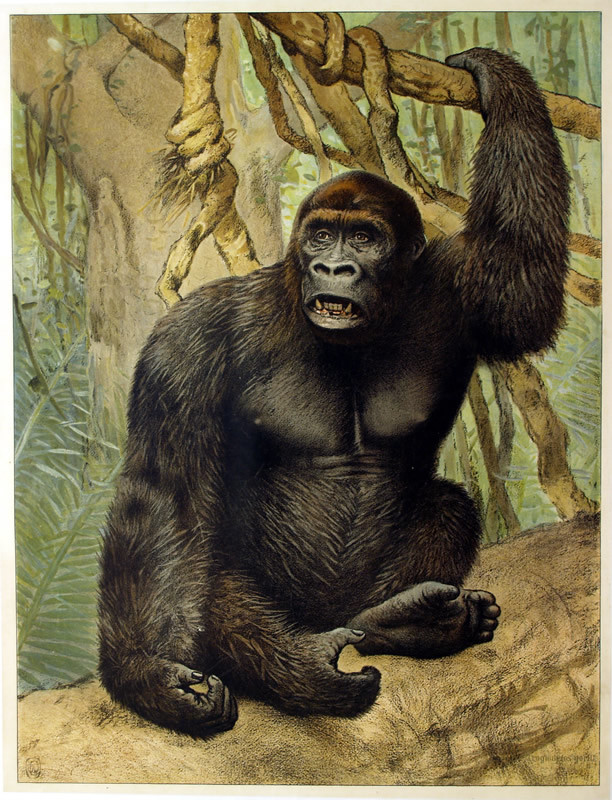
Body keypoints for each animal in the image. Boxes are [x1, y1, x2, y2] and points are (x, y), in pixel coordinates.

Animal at [98, 48, 569, 736]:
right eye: (321, 236)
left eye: (364, 239)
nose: (333, 268)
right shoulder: (191, 338)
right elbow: (168, 499)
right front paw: (151, 679)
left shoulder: (456, 287)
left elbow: (521, 284)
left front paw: (496, 77)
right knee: (210, 580)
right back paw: (302, 664)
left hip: (356, 601)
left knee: (447, 509)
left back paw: (406, 621)